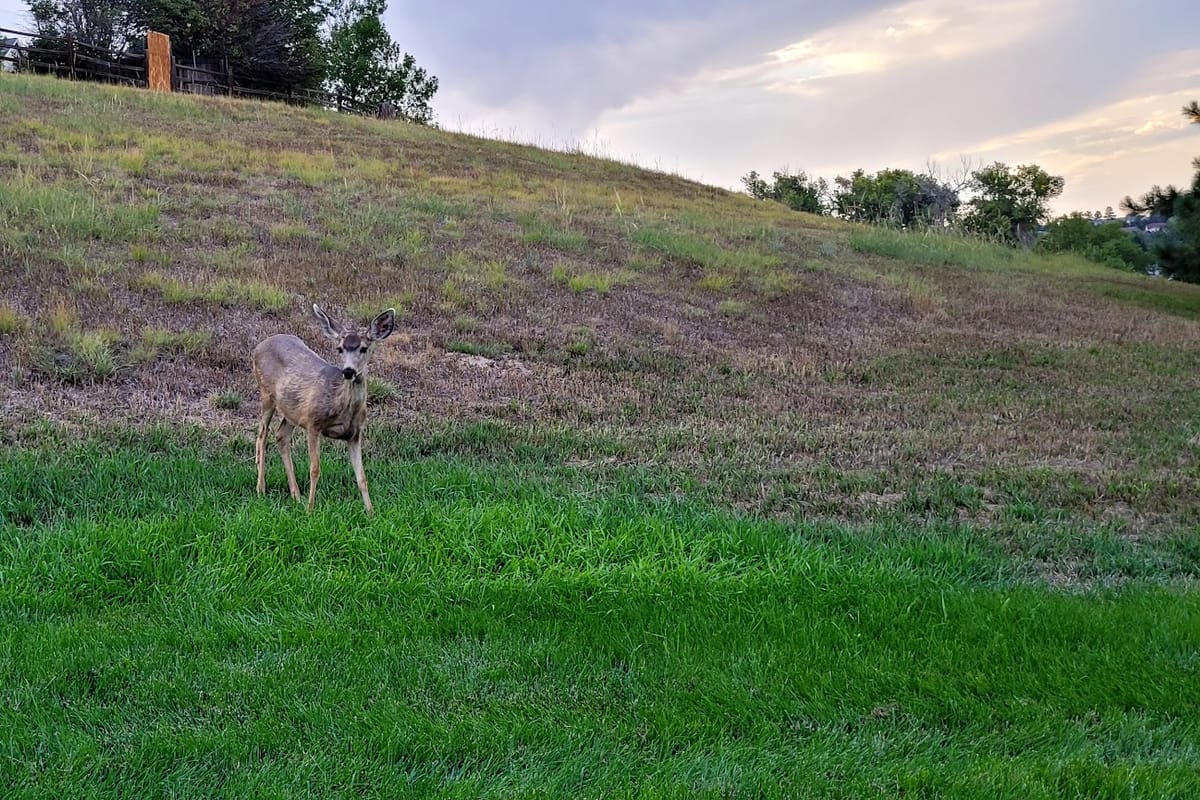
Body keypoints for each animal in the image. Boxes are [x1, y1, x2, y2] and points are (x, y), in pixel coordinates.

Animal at [253, 304, 396, 514]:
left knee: (281, 435)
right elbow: (315, 469)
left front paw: (371, 513)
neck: (342, 406)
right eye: (339, 348)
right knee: (262, 435)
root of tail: (259, 346)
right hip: (266, 394)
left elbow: (362, 476)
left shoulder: (355, 434)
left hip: (291, 408)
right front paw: (310, 510)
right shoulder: (313, 423)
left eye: (364, 348)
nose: (348, 371)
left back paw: (296, 496)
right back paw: (261, 488)